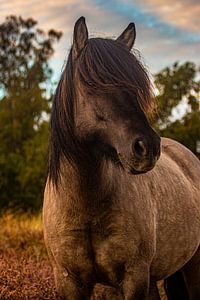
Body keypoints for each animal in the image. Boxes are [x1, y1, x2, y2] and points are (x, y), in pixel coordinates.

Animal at [42, 17, 200, 300]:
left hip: (192, 265)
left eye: (137, 88)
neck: (87, 206)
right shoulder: (69, 281)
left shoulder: (133, 277)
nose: (148, 147)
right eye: (92, 84)